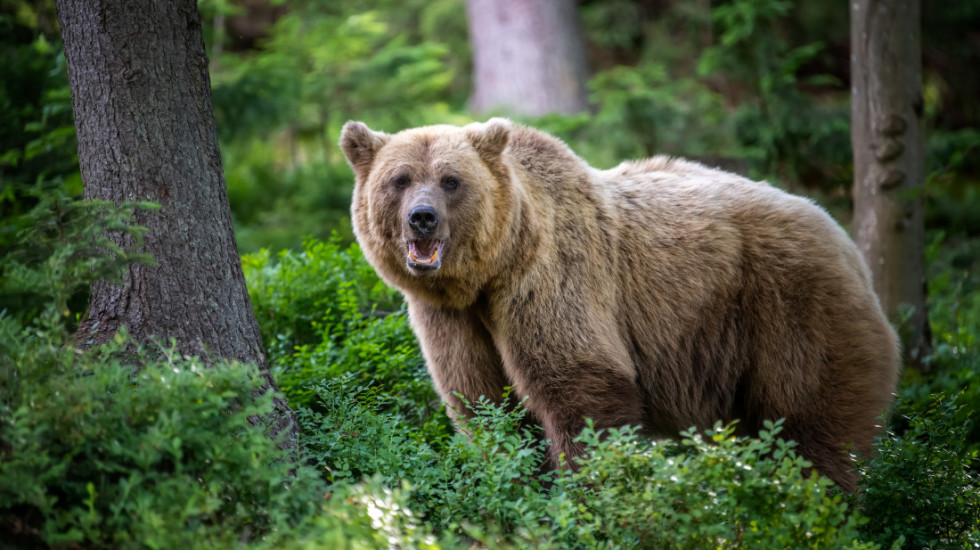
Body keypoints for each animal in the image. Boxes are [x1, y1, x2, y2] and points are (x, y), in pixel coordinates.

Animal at [340, 117, 900, 492]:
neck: (489, 273)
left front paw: (587, 496)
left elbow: (581, 391)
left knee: (812, 427)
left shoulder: (551, 280)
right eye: (400, 179)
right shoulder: (450, 318)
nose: (422, 217)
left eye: (451, 180)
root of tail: (843, 238)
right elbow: (482, 405)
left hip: (791, 309)